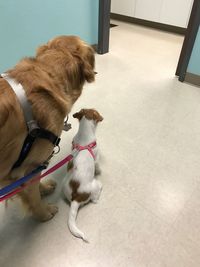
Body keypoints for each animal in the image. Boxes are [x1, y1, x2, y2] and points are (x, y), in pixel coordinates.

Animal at [62, 109, 103, 243]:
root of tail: (76, 198)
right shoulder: (96, 158)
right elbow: (98, 165)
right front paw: (99, 171)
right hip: (96, 185)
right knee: (95, 200)